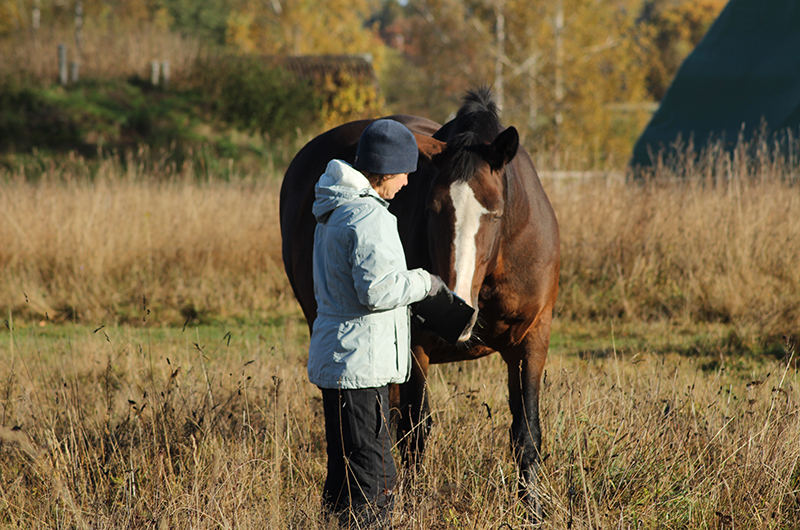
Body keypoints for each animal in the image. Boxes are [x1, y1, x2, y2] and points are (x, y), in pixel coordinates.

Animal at [282, 87, 564, 516]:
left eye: (496, 214)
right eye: (432, 210)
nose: (459, 311)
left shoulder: (532, 339)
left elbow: (526, 430)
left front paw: (531, 509)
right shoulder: (415, 345)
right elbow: (416, 430)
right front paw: (413, 502)